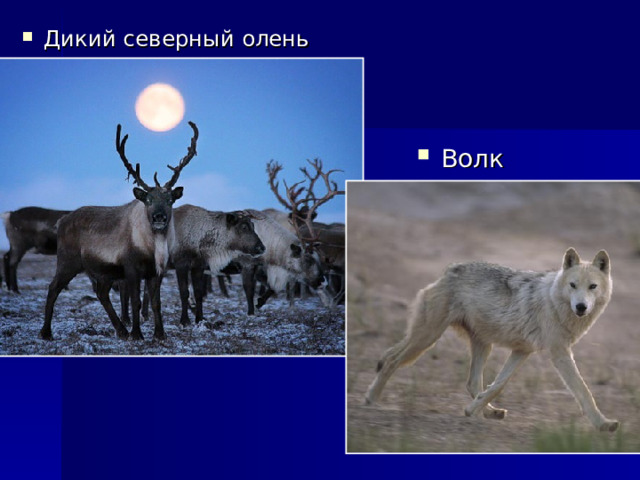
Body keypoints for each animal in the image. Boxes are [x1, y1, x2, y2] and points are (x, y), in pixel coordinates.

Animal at [40, 122, 198, 341]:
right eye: (148, 200)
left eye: (170, 200)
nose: (159, 217)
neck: (152, 246)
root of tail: (61, 221)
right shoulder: (130, 267)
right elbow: (136, 302)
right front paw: (137, 334)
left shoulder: (156, 270)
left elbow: (156, 303)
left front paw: (160, 334)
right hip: (68, 261)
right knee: (53, 287)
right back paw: (46, 332)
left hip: (102, 271)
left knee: (101, 293)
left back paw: (121, 330)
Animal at [364, 248, 619, 432]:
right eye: (573, 285)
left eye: (592, 287)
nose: (581, 307)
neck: (554, 302)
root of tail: (449, 270)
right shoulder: (559, 353)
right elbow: (584, 391)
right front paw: (603, 424)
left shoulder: (522, 351)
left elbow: (498, 385)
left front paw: (472, 409)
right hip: (428, 338)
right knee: (391, 361)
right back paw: (371, 399)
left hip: (481, 345)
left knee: (472, 382)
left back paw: (488, 412)